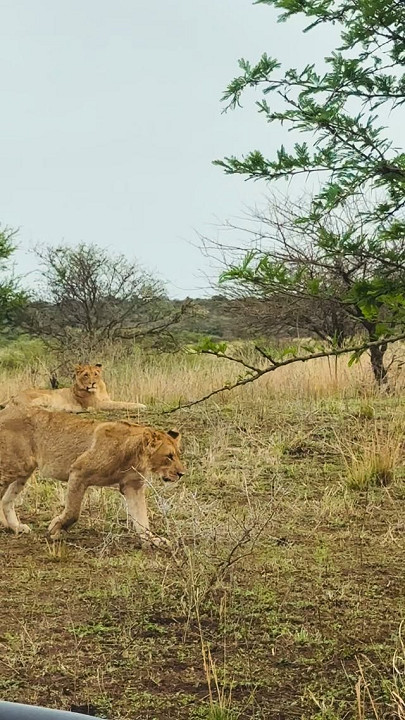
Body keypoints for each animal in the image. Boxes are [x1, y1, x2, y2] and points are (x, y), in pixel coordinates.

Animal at [0, 405, 185, 546]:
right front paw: (56, 527)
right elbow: (73, 511)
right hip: (14, 466)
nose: (181, 473)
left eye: (177, 454)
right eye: (169, 456)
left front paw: (152, 540)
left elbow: (141, 517)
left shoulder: (133, 486)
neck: (134, 456)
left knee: (6, 500)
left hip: (23, 471)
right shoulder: (78, 471)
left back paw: (15, 527)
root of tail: (5, 411)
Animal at [2, 363, 146, 414]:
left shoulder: (105, 400)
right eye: (86, 375)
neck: (98, 390)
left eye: (96, 374)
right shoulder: (97, 404)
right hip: (45, 396)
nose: (93, 383)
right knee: (32, 409)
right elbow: (120, 404)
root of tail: (13, 396)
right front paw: (141, 405)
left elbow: (119, 402)